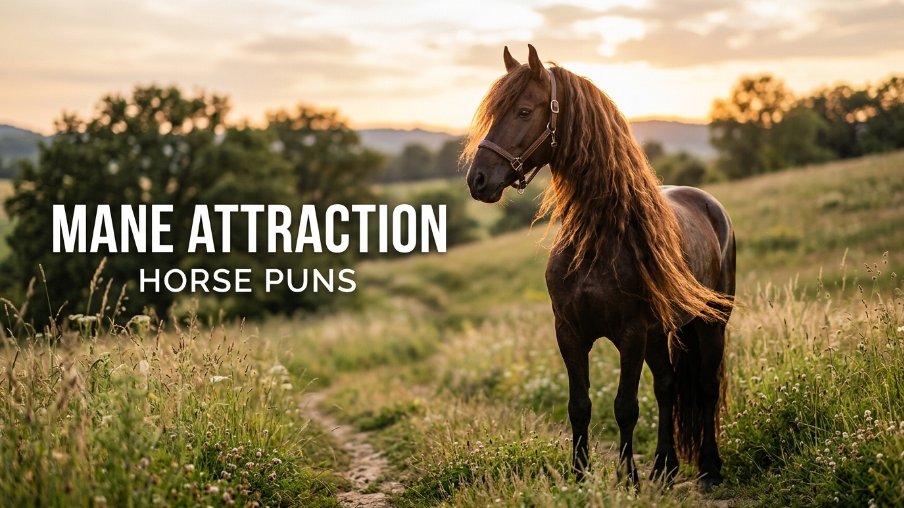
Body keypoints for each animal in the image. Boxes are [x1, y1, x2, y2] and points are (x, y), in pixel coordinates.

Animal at [464, 45, 736, 491]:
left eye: (523, 111)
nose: (478, 180)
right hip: (662, 334)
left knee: (706, 388)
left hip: (709, 323)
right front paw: (578, 475)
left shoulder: (631, 334)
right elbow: (580, 405)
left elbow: (625, 406)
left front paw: (628, 479)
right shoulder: (570, 333)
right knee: (668, 387)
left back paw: (709, 470)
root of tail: (711, 206)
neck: (598, 238)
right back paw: (664, 468)